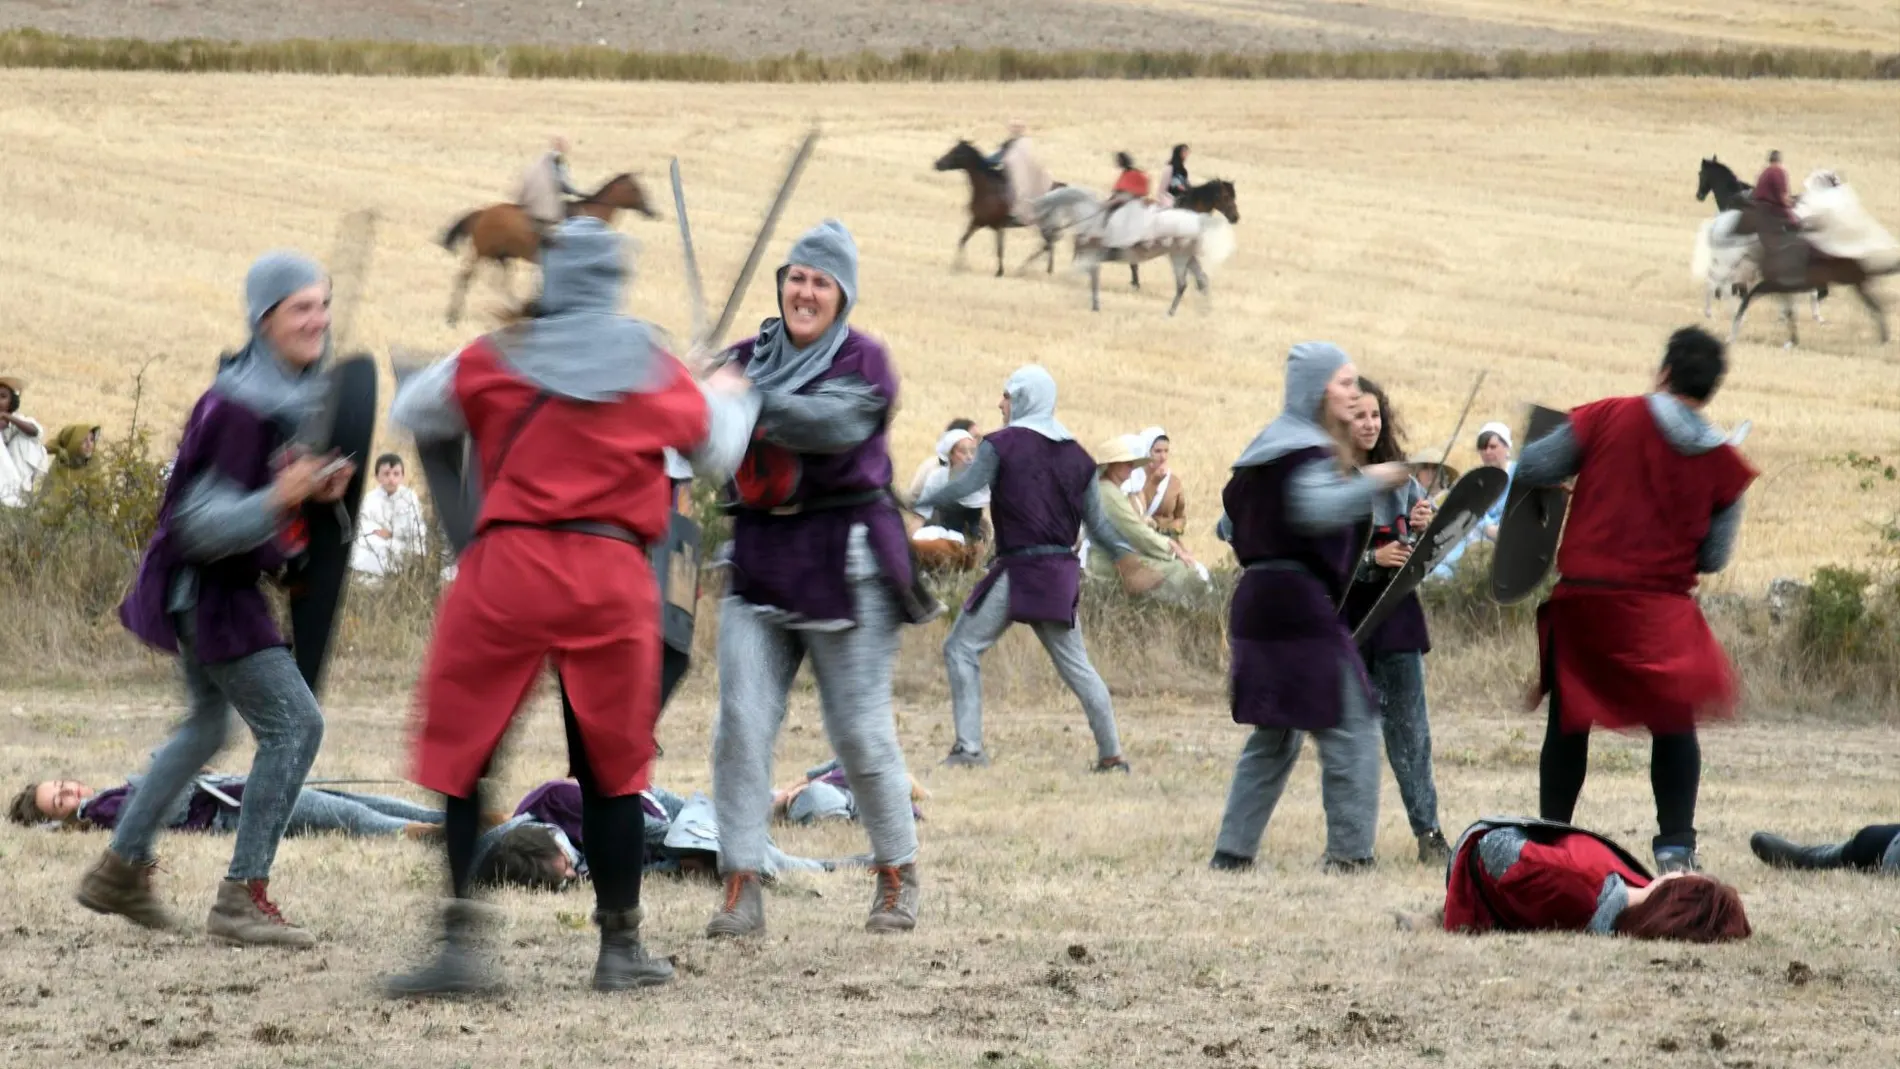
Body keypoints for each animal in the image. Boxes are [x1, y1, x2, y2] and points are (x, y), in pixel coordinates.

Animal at [438, 173, 661, 324]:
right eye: (636, 189)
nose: (652, 211)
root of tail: (482, 213)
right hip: (484, 251)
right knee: (465, 276)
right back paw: (452, 317)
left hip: (502, 256)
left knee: (500, 283)